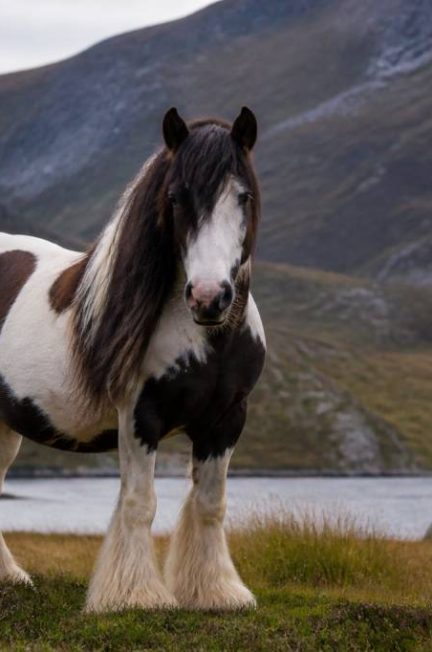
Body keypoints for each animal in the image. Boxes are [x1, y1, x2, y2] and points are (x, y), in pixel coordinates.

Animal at [0, 107, 266, 612]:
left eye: (243, 196)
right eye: (176, 197)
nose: (209, 297)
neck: (209, 340)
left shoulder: (227, 420)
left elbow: (210, 504)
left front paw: (215, 592)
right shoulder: (141, 416)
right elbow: (140, 504)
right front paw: (137, 596)